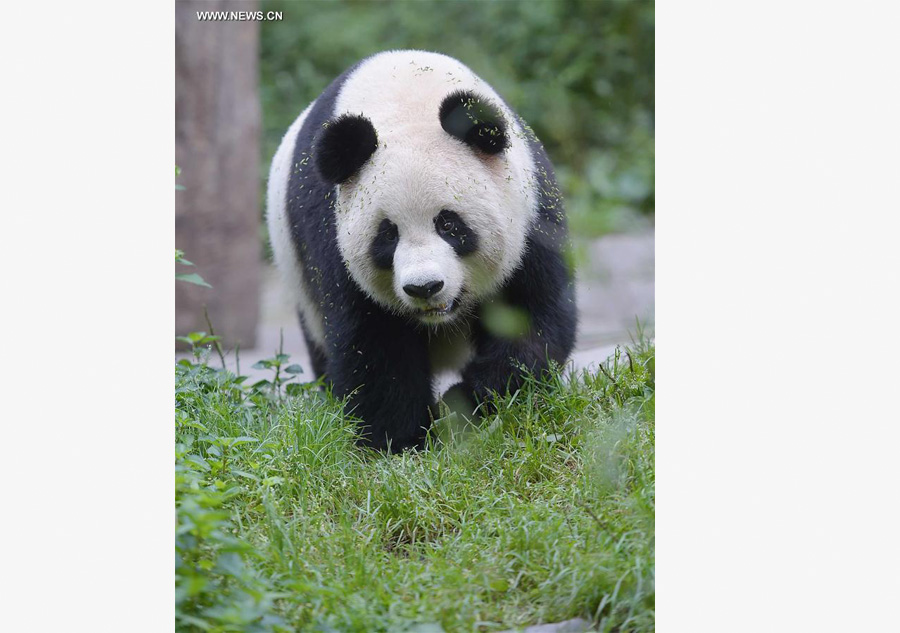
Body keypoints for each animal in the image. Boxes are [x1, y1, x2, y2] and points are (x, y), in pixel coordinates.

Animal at [267, 50, 576, 450]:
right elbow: (372, 343)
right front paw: (401, 441)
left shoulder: (530, 213)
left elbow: (531, 317)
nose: (425, 287)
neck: (406, 98)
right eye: (387, 235)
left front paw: (467, 404)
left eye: (449, 225)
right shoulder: (329, 230)